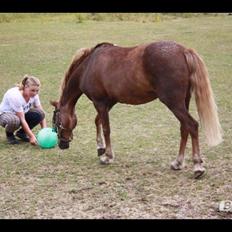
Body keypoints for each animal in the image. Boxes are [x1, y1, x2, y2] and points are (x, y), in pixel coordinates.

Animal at [51, 40, 223, 179]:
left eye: (56, 121)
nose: (62, 144)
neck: (89, 65)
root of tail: (183, 50)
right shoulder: (109, 102)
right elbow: (98, 121)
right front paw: (100, 147)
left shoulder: (99, 102)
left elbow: (106, 128)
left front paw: (107, 156)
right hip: (183, 102)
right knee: (184, 128)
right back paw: (178, 162)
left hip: (174, 103)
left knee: (192, 125)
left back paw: (197, 166)